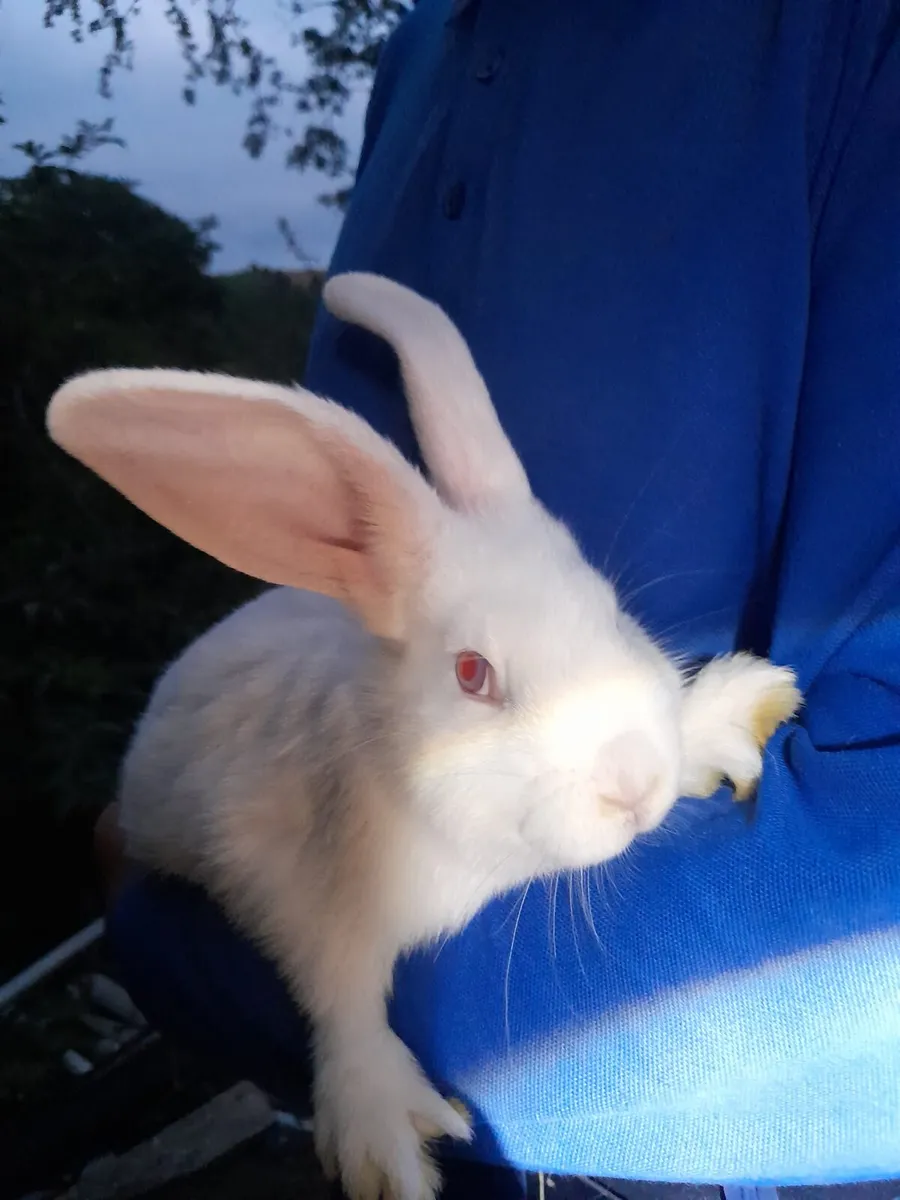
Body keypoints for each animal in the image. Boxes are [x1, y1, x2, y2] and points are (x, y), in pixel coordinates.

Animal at [46, 272, 802, 1200]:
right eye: (473, 674)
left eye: (613, 613)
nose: (634, 784)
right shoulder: (283, 880)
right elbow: (337, 991)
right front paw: (382, 1139)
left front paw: (731, 714)